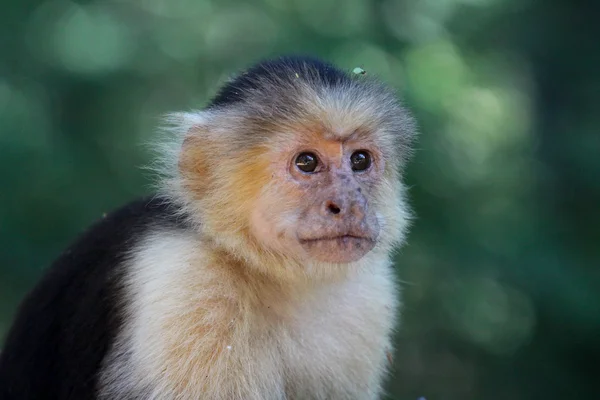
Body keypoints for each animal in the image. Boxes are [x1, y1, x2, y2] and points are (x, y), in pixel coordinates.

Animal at [0, 54, 418, 398]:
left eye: (360, 160)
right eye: (307, 162)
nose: (349, 204)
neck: (273, 275)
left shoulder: (370, 299)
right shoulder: (186, 286)